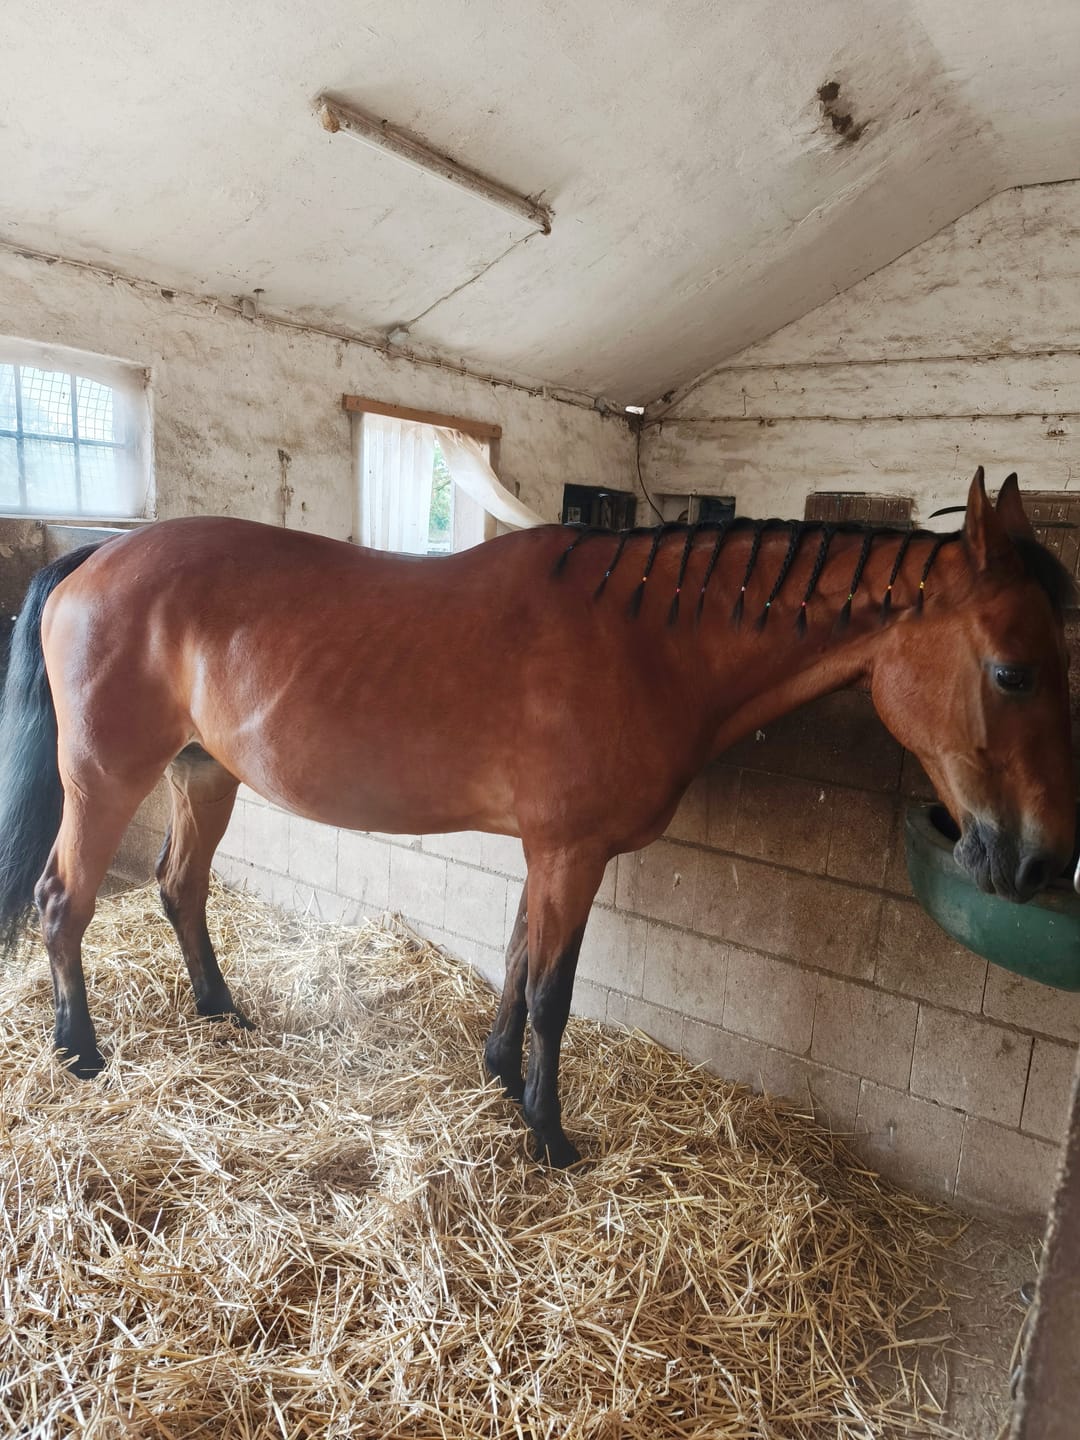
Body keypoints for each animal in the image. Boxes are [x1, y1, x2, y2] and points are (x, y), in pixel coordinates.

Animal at [0, 467, 1074, 1167]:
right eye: (1013, 672)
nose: (1036, 863)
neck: (643, 641)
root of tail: (100, 555)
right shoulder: (573, 852)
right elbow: (555, 990)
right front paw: (550, 1134)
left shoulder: (546, 852)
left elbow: (519, 957)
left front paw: (496, 1077)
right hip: (106, 780)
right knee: (62, 902)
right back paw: (80, 1052)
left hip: (203, 775)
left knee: (180, 889)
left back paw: (221, 1011)